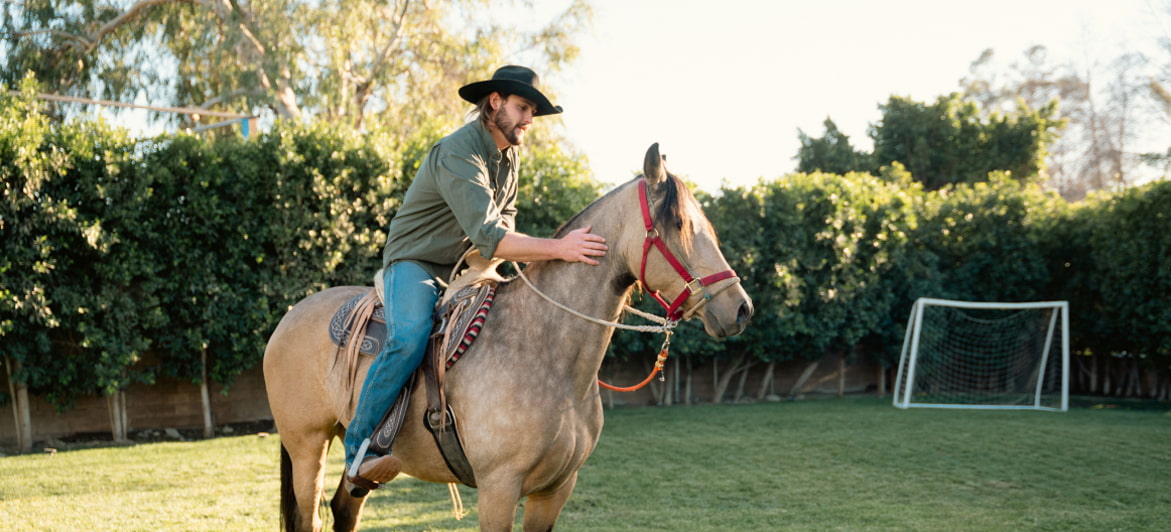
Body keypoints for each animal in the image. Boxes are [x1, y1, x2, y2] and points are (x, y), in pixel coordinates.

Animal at [262, 142, 754, 532]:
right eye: (679, 224)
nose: (740, 308)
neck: (547, 354)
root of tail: (289, 317)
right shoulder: (498, 488)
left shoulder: (554, 491)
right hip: (307, 447)